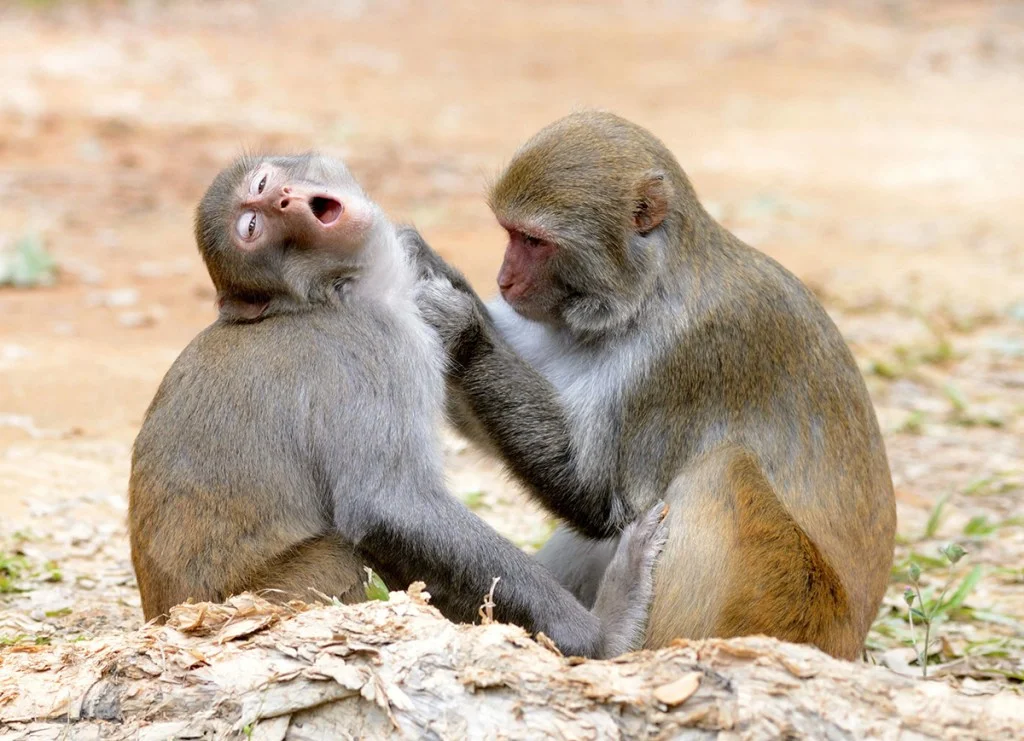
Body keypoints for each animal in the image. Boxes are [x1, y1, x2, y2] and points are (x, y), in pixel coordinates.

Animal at [127, 152, 668, 659]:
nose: (281, 199)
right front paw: (599, 636)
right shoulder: (374, 350)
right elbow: (389, 506)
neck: (334, 293)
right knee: (343, 551)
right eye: (252, 229)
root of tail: (163, 617)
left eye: (261, 186)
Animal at [409, 111, 897, 660]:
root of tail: (852, 641)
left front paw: (463, 329)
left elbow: (600, 498)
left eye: (533, 241)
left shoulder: (683, 358)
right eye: (509, 233)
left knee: (721, 472)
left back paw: (618, 643)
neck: (641, 298)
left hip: (789, 611)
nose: (504, 280)